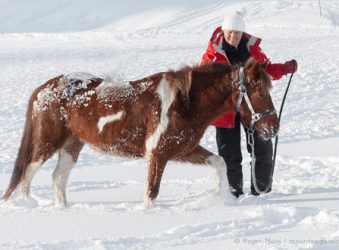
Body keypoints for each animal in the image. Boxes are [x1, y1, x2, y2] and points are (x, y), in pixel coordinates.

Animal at [1, 57, 278, 208]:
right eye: (260, 92)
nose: (273, 127)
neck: (184, 101)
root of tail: (43, 89)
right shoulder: (157, 154)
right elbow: (151, 193)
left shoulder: (183, 149)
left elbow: (220, 163)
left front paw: (223, 199)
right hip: (47, 142)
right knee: (28, 173)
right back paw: (28, 204)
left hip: (72, 144)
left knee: (58, 177)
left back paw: (63, 208)